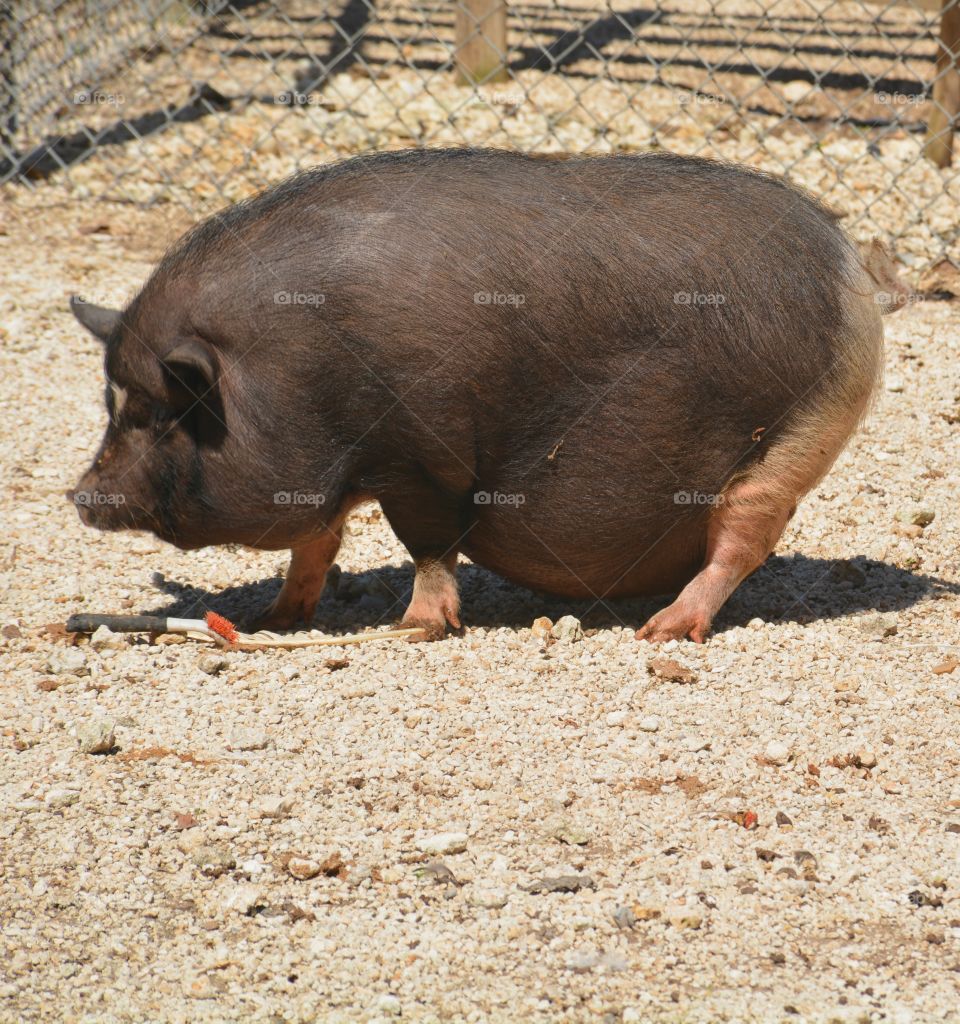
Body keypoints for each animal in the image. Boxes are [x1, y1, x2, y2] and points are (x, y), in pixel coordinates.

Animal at [69, 146, 896, 638]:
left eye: (155, 413)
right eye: (113, 405)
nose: (80, 494)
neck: (286, 368)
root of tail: (848, 266)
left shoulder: (416, 458)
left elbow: (427, 544)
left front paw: (413, 628)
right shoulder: (339, 469)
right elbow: (316, 542)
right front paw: (278, 617)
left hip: (790, 441)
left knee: (743, 538)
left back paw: (662, 630)